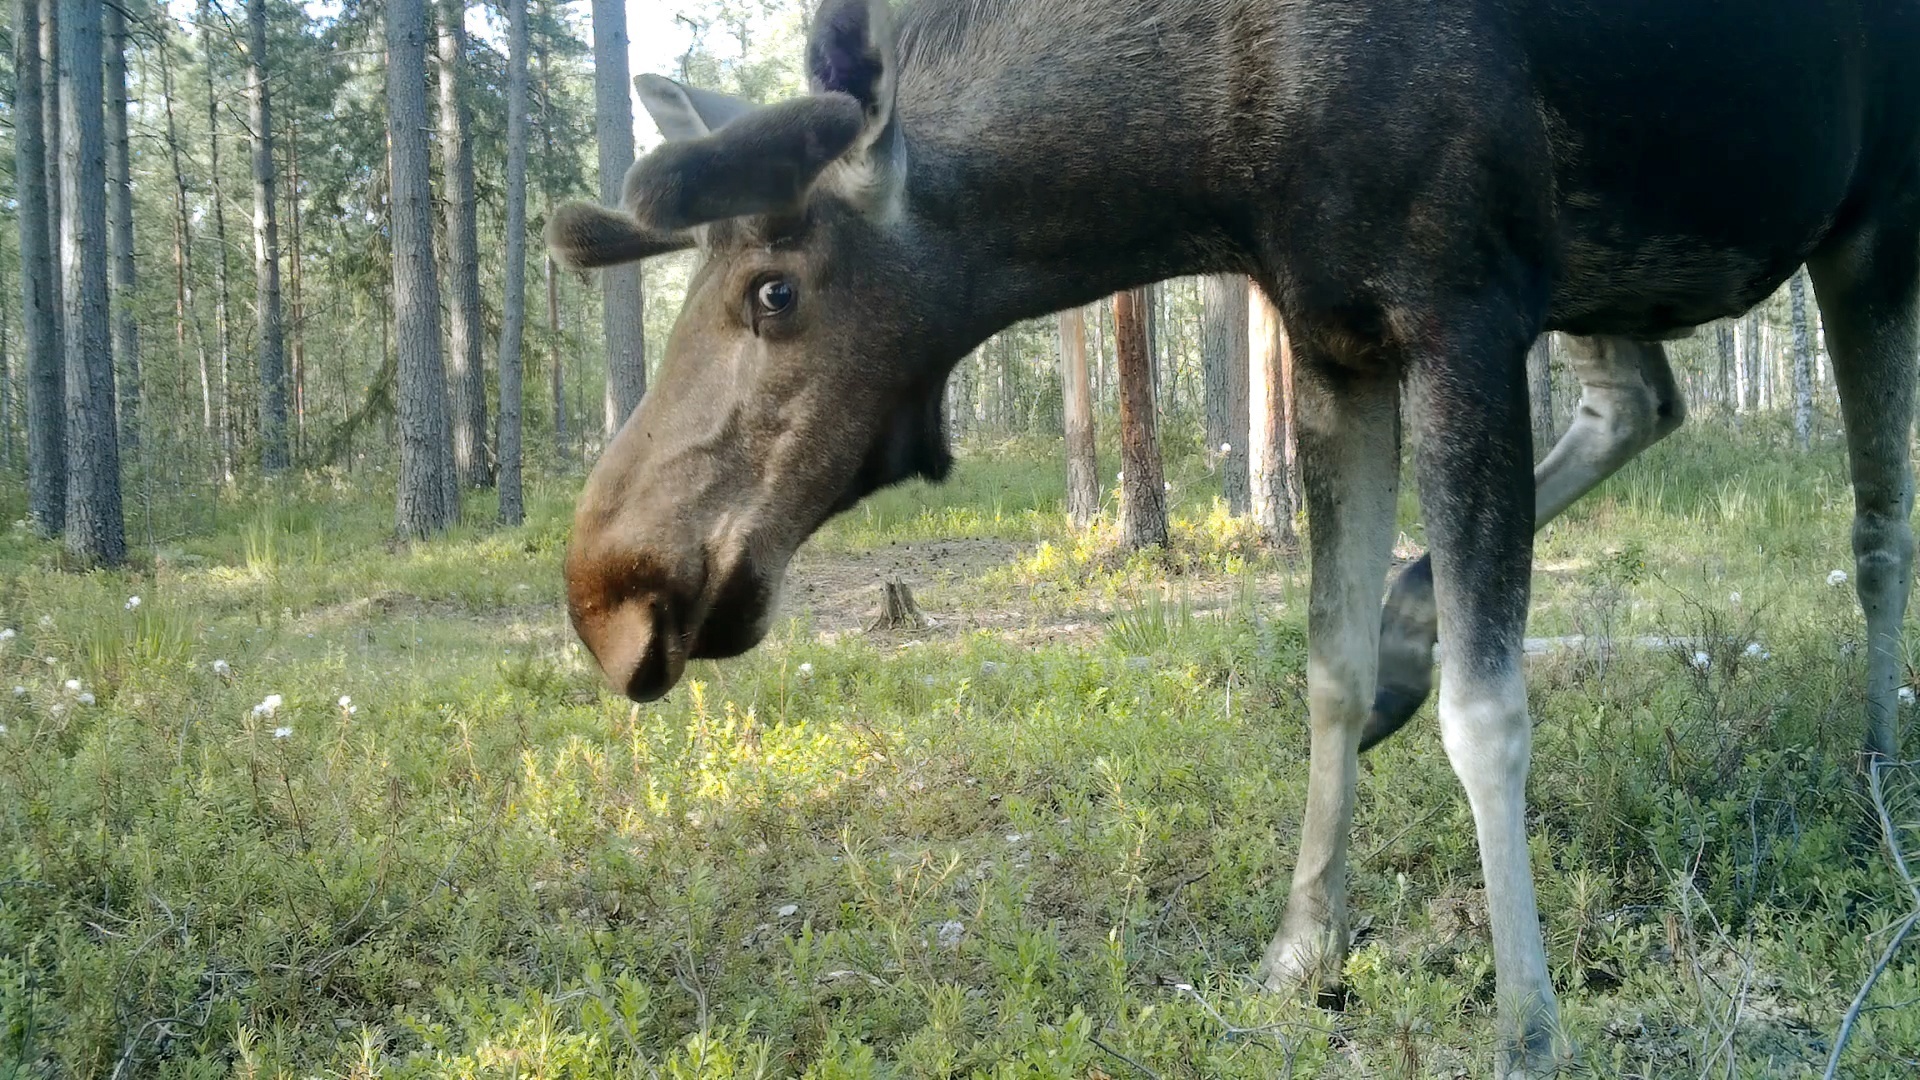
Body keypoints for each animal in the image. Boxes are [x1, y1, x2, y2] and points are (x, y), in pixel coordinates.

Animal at [552, 0, 1920, 1068]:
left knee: (1876, 526)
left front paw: (1528, 1024)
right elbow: (1326, 665)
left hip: (1867, 222)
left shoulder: (1465, 310)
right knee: (1648, 396)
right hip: (1610, 272)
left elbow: (1491, 711)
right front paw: (1302, 947)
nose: (606, 592)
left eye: (774, 291)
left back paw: (1878, 780)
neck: (1209, 156)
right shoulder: (1337, 338)